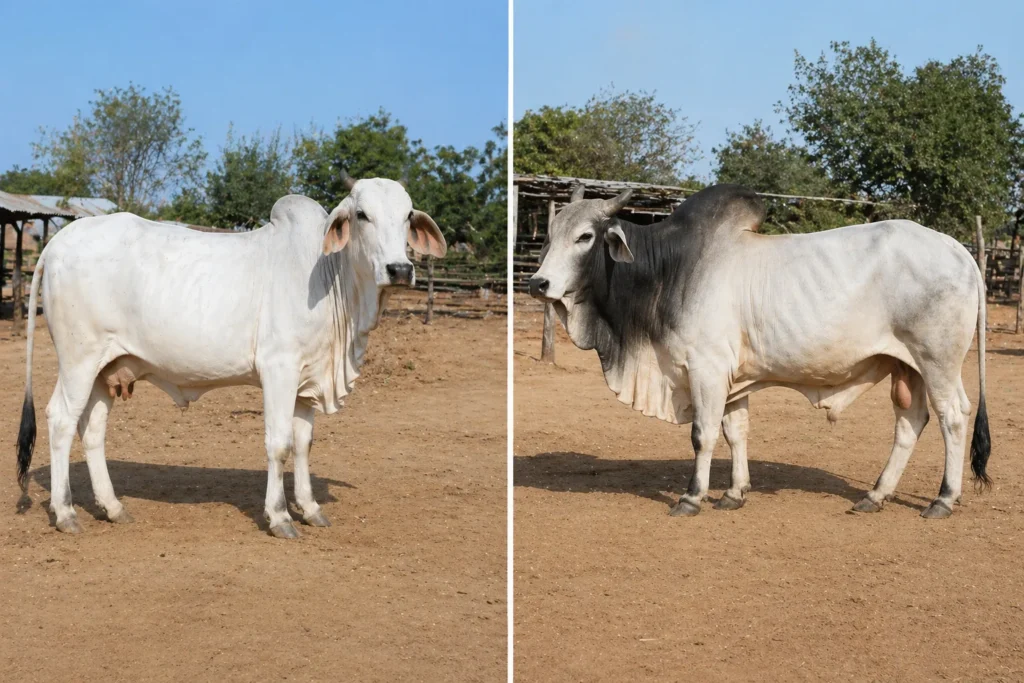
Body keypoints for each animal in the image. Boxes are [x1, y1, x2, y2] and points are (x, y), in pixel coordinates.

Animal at [16, 177, 446, 538]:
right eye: (362, 215)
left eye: (408, 215)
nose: (399, 269)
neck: (330, 277)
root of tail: (58, 241)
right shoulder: (279, 369)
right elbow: (279, 444)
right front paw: (280, 517)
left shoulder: (307, 380)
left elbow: (303, 444)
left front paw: (310, 508)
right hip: (78, 360)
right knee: (60, 421)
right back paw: (66, 513)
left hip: (107, 368)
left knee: (92, 430)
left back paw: (113, 507)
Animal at [528, 183, 990, 519]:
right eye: (550, 236)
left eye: (585, 237)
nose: (538, 283)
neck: (668, 271)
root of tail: (959, 250)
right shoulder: (732, 377)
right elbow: (736, 432)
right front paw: (734, 493)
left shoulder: (707, 368)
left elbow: (703, 434)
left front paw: (692, 497)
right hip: (906, 366)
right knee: (911, 422)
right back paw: (875, 495)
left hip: (938, 361)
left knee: (952, 417)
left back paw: (943, 499)